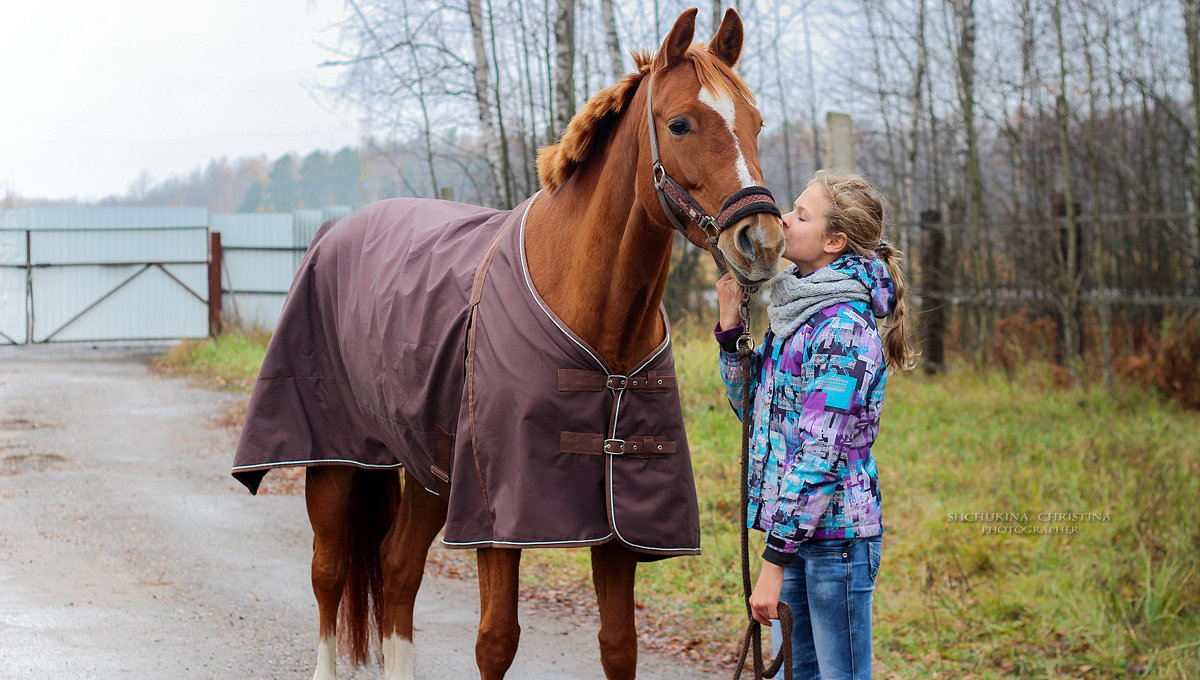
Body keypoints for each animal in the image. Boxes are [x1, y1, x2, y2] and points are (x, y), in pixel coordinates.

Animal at [231, 7, 787, 676]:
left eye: (757, 122)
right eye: (679, 123)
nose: (762, 241)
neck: (597, 322)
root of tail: (331, 234)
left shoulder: (620, 527)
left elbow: (618, 645)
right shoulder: (496, 519)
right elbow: (496, 640)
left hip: (428, 471)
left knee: (397, 568)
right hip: (336, 461)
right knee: (329, 572)